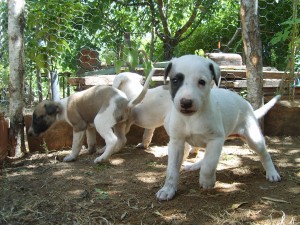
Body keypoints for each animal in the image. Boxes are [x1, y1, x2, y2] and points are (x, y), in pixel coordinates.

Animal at [156, 54, 282, 200]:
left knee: (264, 154)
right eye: (175, 80)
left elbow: (209, 164)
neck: (192, 118)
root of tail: (248, 106)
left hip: (253, 137)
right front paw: (168, 189)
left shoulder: (215, 140)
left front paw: (207, 181)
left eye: (202, 82)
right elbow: (172, 170)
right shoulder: (176, 142)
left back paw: (272, 173)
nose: (186, 102)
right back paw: (195, 166)